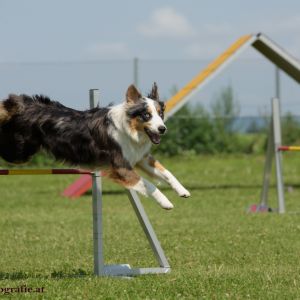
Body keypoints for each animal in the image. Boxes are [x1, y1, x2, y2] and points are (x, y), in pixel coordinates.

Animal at [0, 82, 190, 209]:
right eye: (146, 115)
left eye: (160, 114)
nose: (162, 129)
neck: (129, 128)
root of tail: (25, 106)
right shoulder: (121, 167)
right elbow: (148, 184)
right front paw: (165, 202)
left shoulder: (140, 158)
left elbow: (167, 173)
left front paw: (183, 190)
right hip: (18, 152)